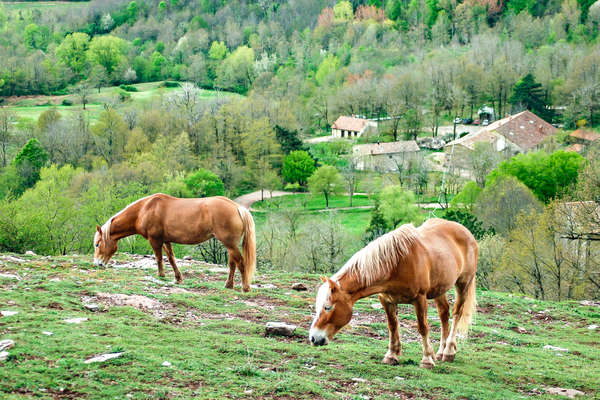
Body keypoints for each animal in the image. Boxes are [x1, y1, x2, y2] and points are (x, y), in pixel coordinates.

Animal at [94, 193, 255, 290]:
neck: (144, 210)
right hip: (230, 245)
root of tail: (236, 207)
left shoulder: (155, 240)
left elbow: (158, 258)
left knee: (241, 263)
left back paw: (245, 287)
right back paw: (229, 285)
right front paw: (178, 278)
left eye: (97, 244)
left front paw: (161, 275)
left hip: (230, 244)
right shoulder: (166, 240)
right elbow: (171, 259)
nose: (98, 264)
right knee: (233, 264)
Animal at [310, 219, 478, 368]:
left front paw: (427, 360)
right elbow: (392, 326)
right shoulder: (386, 300)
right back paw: (441, 351)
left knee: (457, 313)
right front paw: (391, 355)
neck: (396, 263)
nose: (313, 338)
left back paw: (448, 351)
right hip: (439, 289)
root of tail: (466, 232)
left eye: (327, 307)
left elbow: (423, 327)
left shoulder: (420, 299)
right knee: (444, 313)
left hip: (463, 284)